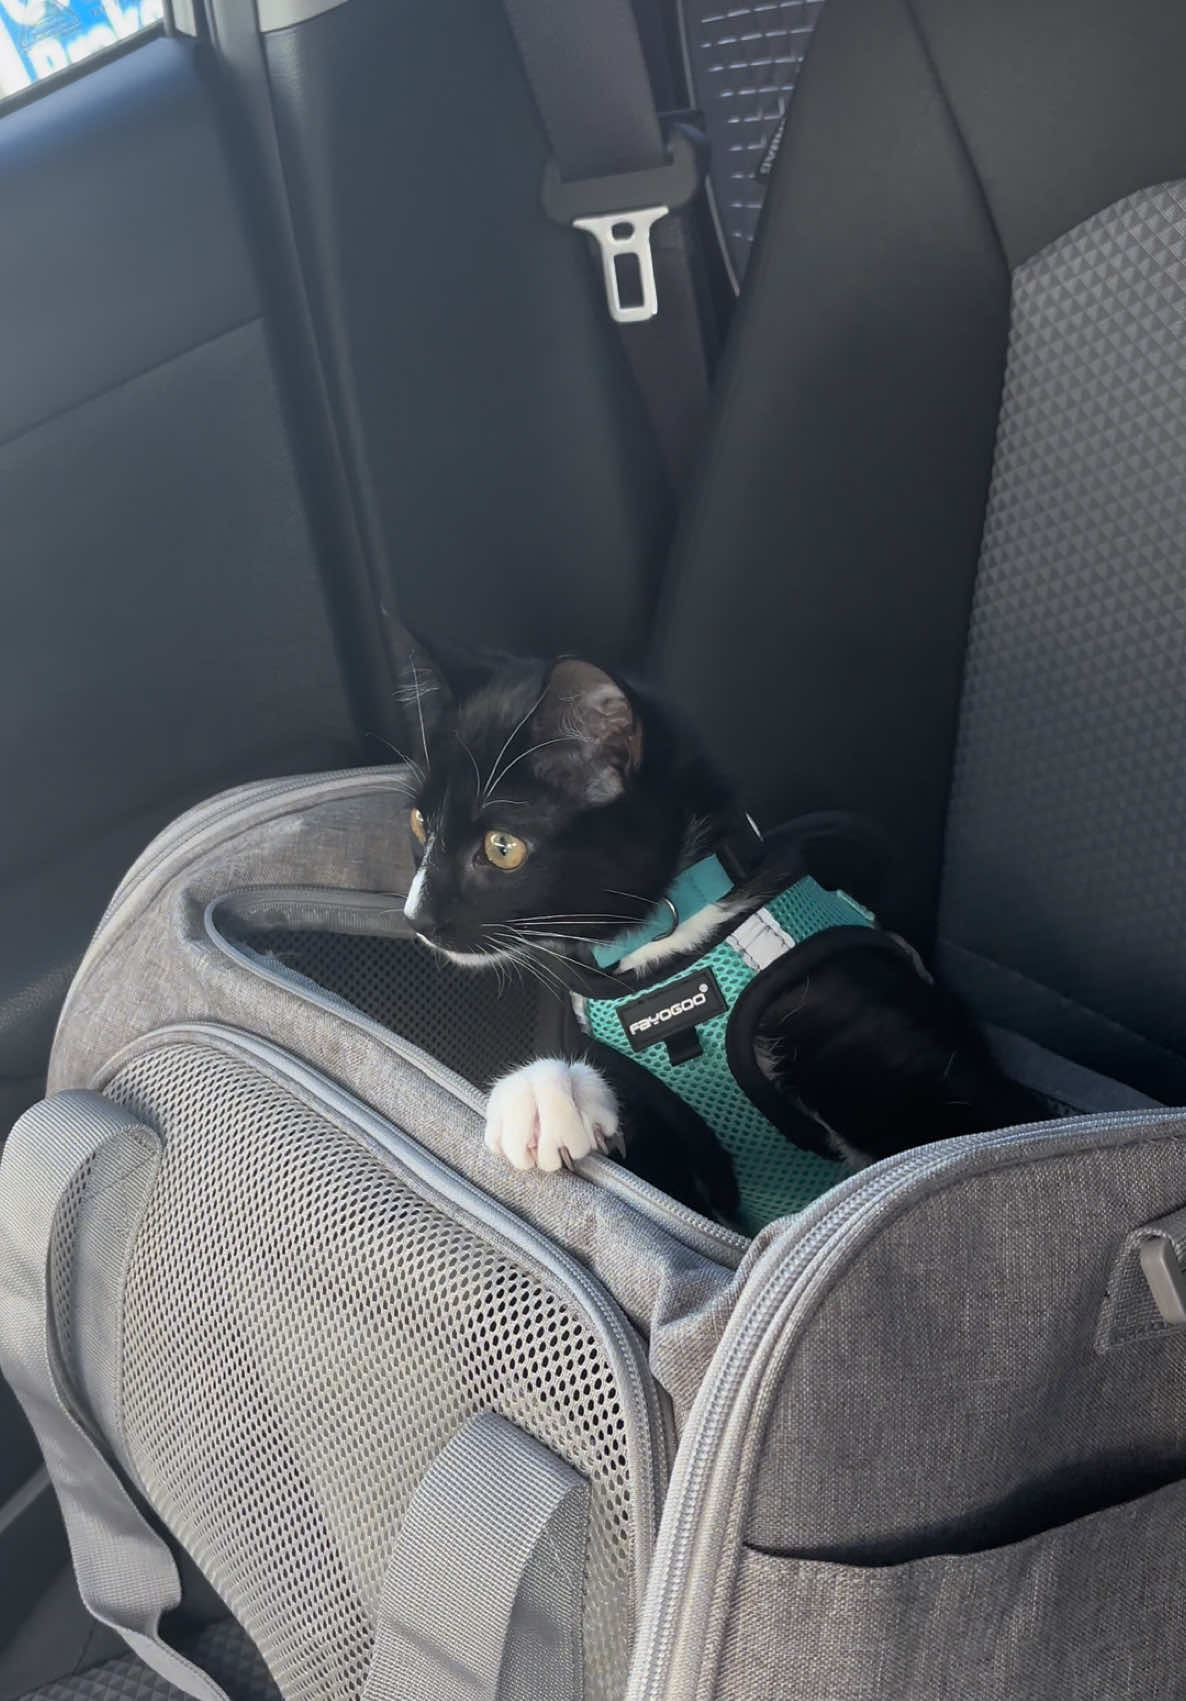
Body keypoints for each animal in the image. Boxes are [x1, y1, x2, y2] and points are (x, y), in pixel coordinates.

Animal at [394, 642, 1034, 1217]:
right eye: (420, 822)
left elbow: (955, 1145)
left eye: (502, 847)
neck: (669, 943)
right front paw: (543, 1092)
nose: (416, 917)